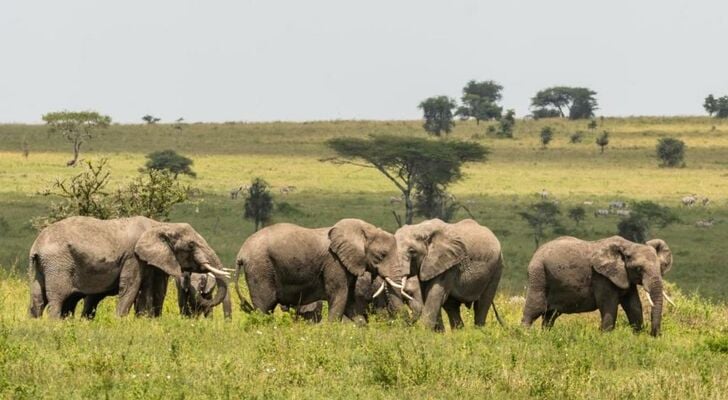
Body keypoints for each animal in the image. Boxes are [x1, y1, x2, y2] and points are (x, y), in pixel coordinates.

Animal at [29, 216, 229, 318]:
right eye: (191, 245)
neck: (159, 225)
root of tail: (36, 246)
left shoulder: (151, 260)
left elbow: (152, 290)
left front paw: (147, 321)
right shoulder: (133, 257)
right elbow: (131, 287)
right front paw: (120, 322)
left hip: (40, 267)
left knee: (37, 299)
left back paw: (36, 323)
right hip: (57, 264)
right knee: (57, 298)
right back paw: (55, 324)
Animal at [235, 219, 406, 322]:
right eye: (381, 255)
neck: (364, 229)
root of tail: (241, 253)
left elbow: (350, 301)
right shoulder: (334, 263)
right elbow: (339, 296)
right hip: (260, 268)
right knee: (264, 306)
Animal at [520, 236, 672, 336]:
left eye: (660, 267)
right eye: (639, 269)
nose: (655, 335)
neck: (628, 245)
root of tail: (536, 253)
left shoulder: (625, 277)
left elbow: (634, 306)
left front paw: (638, 336)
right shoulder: (601, 277)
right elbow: (608, 305)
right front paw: (605, 338)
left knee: (550, 316)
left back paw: (545, 336)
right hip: (538, 273)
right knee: (535, 308)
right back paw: (525, 336)